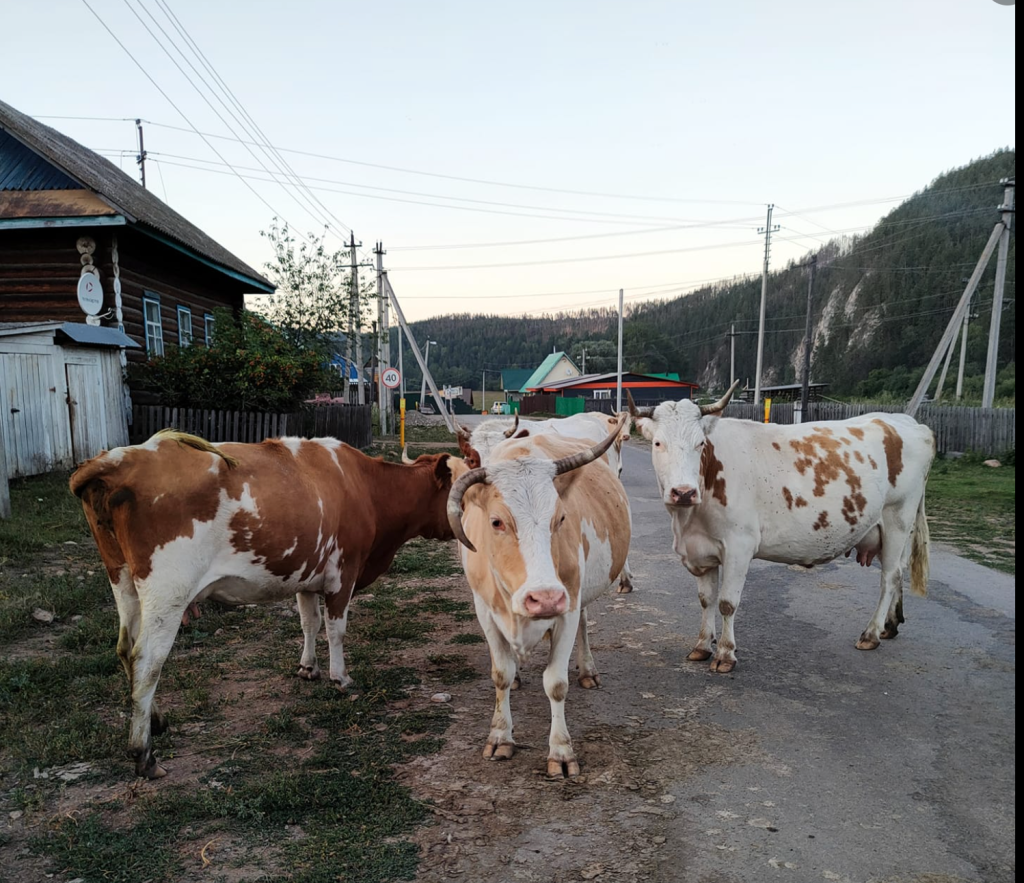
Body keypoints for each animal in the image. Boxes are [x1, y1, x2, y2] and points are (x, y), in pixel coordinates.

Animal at [69, 429, 467, 778]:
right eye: (459, 494)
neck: (365, 488)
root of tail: (120, 457)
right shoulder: (344, 572)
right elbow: (336, 629)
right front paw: (341, 677)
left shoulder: (308, 574)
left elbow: (309, 622)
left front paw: (308, 667)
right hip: (167, 591)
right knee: (147, 661)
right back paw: (144, 754)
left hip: (123, 580)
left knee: (125, 649)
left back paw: (157, 720)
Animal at [629, 383, 934, 673]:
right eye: (658, 443)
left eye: (700, 443)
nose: (684, 492)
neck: (688, 519)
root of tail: (906, 422)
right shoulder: (700, 549)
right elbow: (706, 600)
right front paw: (702, 646)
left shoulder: (739, 546)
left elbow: (727, 602)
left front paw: (726, 654)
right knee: (899, 571)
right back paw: (890, 625)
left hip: (897, 518)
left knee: (890, 577)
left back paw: (871, 634)